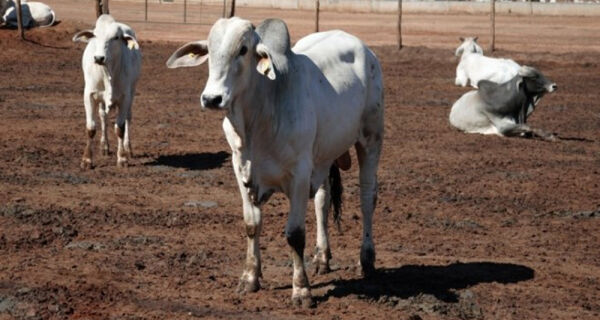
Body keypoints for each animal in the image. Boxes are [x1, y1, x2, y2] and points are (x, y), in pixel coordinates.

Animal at [72, 14, 141, 170]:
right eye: (95, 36)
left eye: (115, 37)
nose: (99, 58)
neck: (107, 72)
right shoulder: (89, 95)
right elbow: (91, 128)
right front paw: (87, 160)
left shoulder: (125, 98)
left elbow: (120, 128)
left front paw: (122, 158)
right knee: (103, 116)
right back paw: (104, 146)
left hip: (132, 92)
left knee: (128, 118)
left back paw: (128, 148)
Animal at [168, 18, 384, 308]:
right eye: (210, 50)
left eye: (243, 49)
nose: (212, 98)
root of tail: (363, 48)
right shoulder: (241, 168)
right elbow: (252, 225)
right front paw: (249, 278)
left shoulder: (299, 174)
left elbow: (295, 234)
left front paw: (301, 291)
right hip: (323, 156)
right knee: (323, 200)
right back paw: (322, 257)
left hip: (371, 139)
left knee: (367, 198)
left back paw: (367, 259)